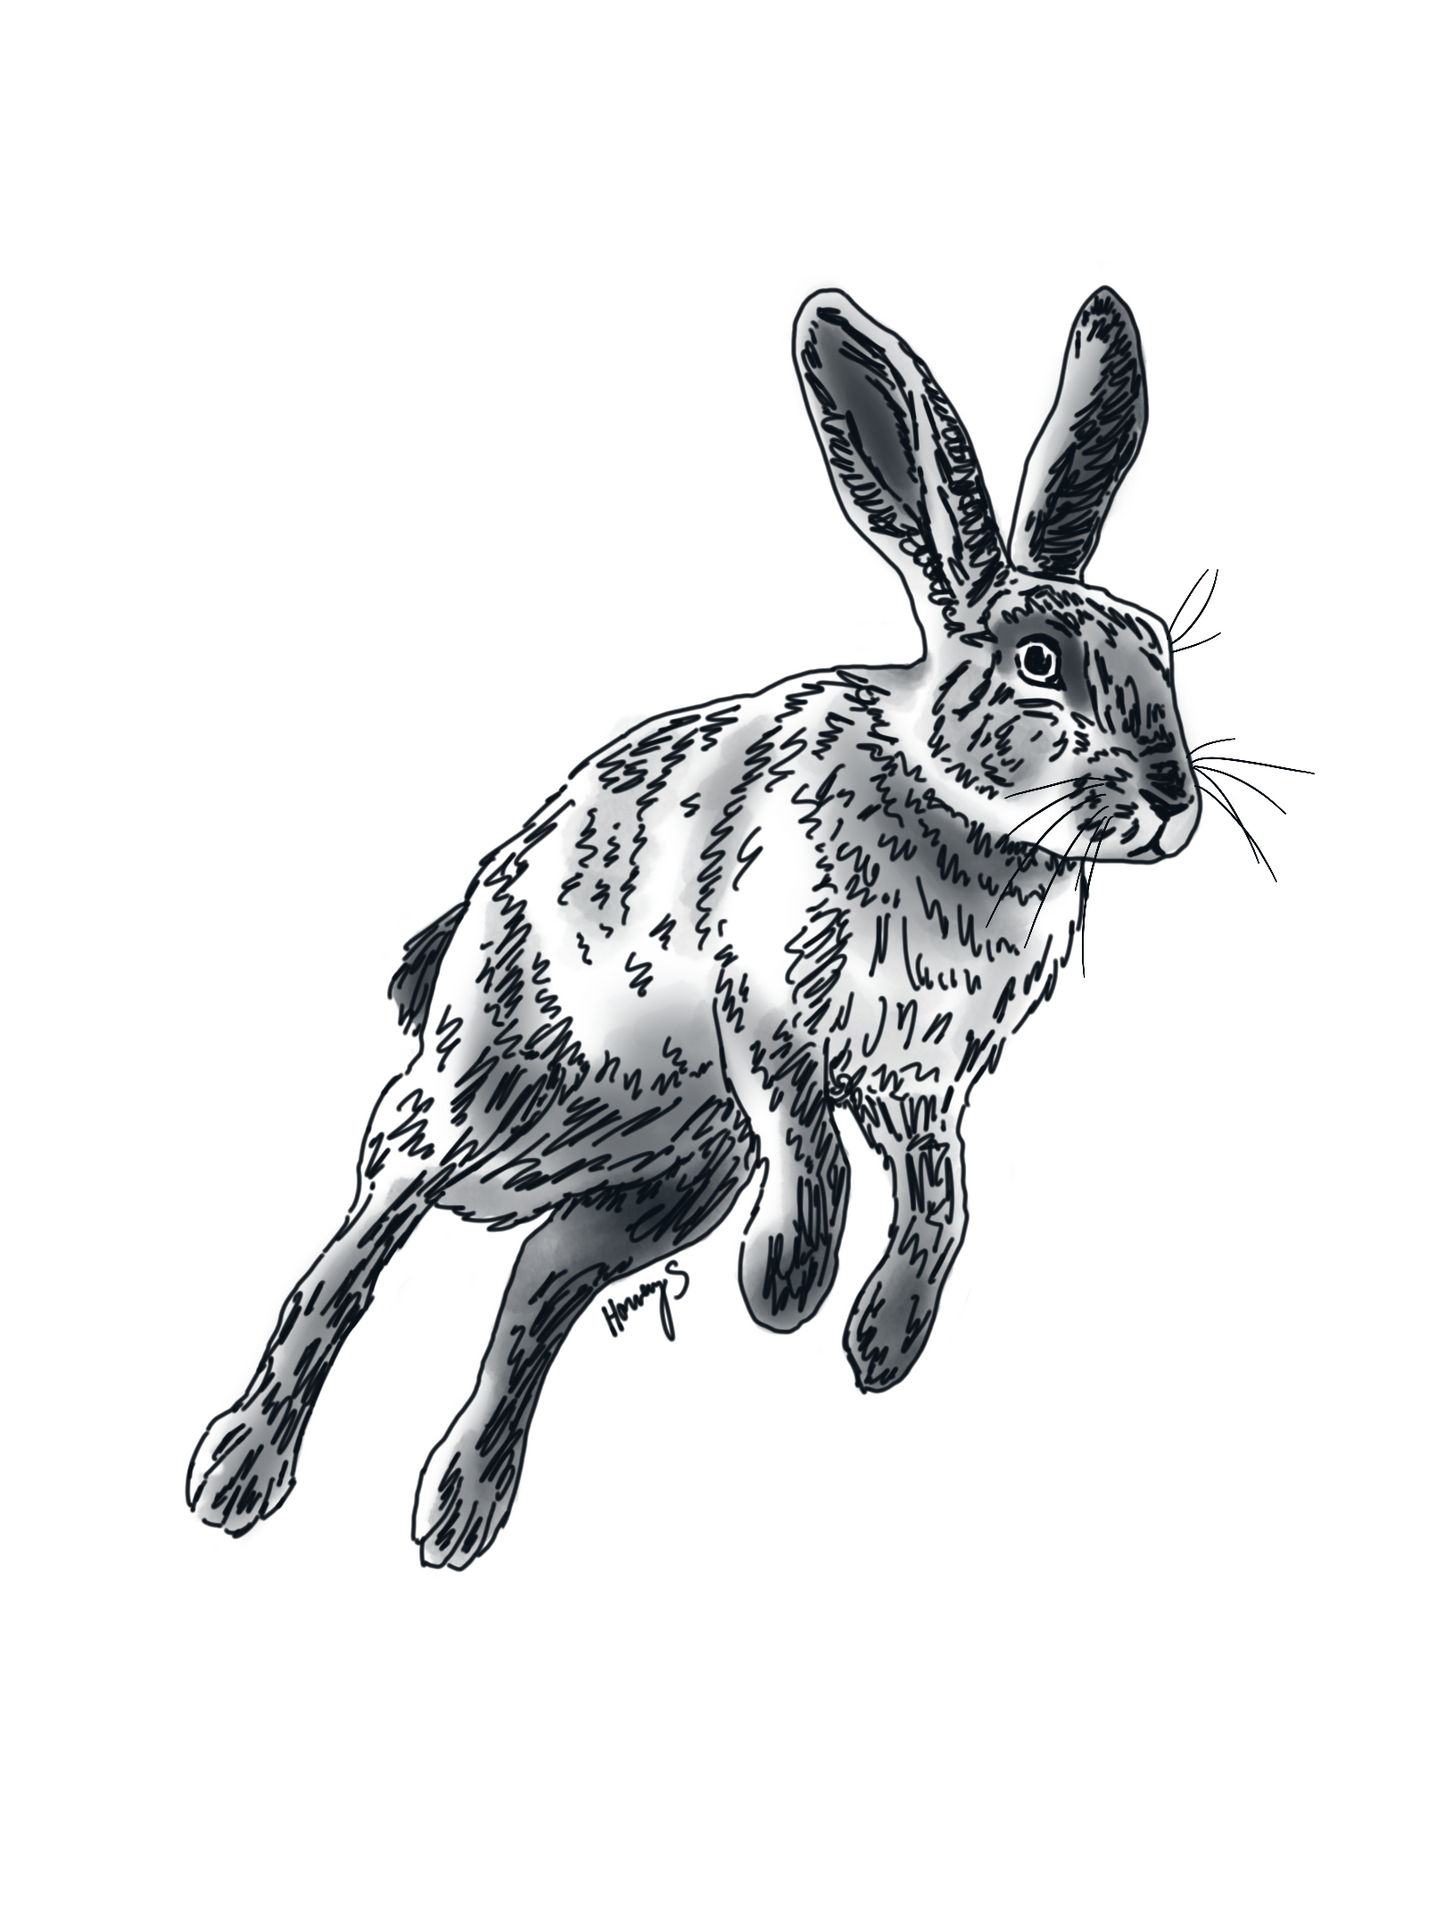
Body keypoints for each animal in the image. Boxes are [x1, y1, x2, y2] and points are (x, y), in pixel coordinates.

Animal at [187, 286, 1200, 1569]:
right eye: (1035, 662)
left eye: (1157, 647)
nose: (1173, 798)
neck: (955, 810)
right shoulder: (763, 1005)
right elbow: (814, 1149)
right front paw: (784, 1288)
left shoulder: (923, 1083)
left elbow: (944, 1203)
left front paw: (881, 1341)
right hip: (468, 1099)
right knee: (351, 1259)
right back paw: (238, 1472)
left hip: (665, 1186)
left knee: (532, 1292)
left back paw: (460, 1506)